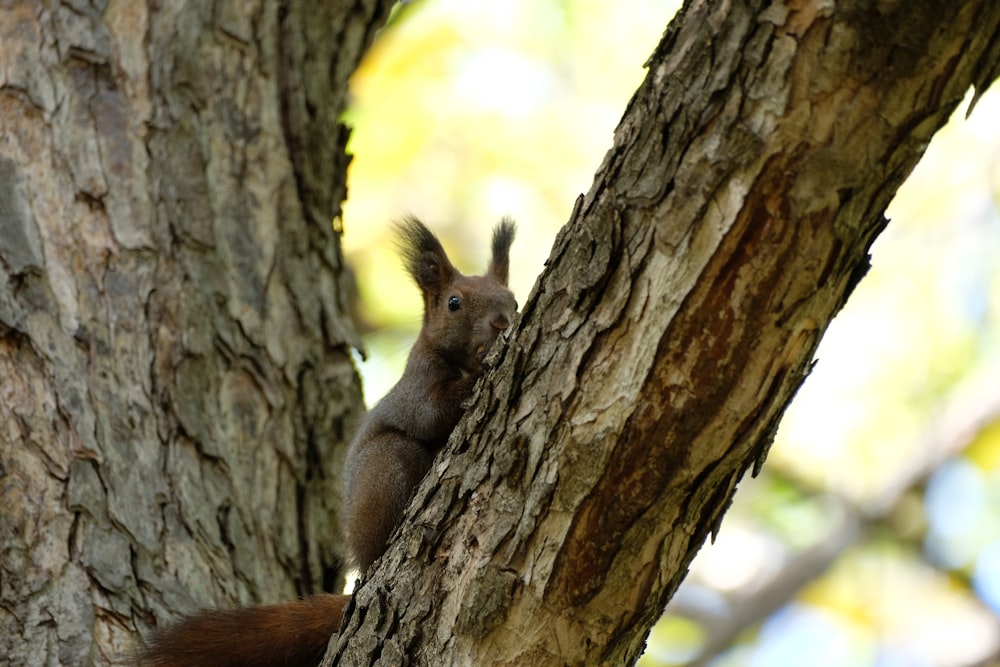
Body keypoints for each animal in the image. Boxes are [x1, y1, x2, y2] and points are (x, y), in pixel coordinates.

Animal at [142, 217, 520, 664]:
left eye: (513, 301)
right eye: (454, 303)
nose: (502, 322)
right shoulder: (416, 385)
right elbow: (429, 415)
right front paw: (476, 372)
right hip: (385, 468)